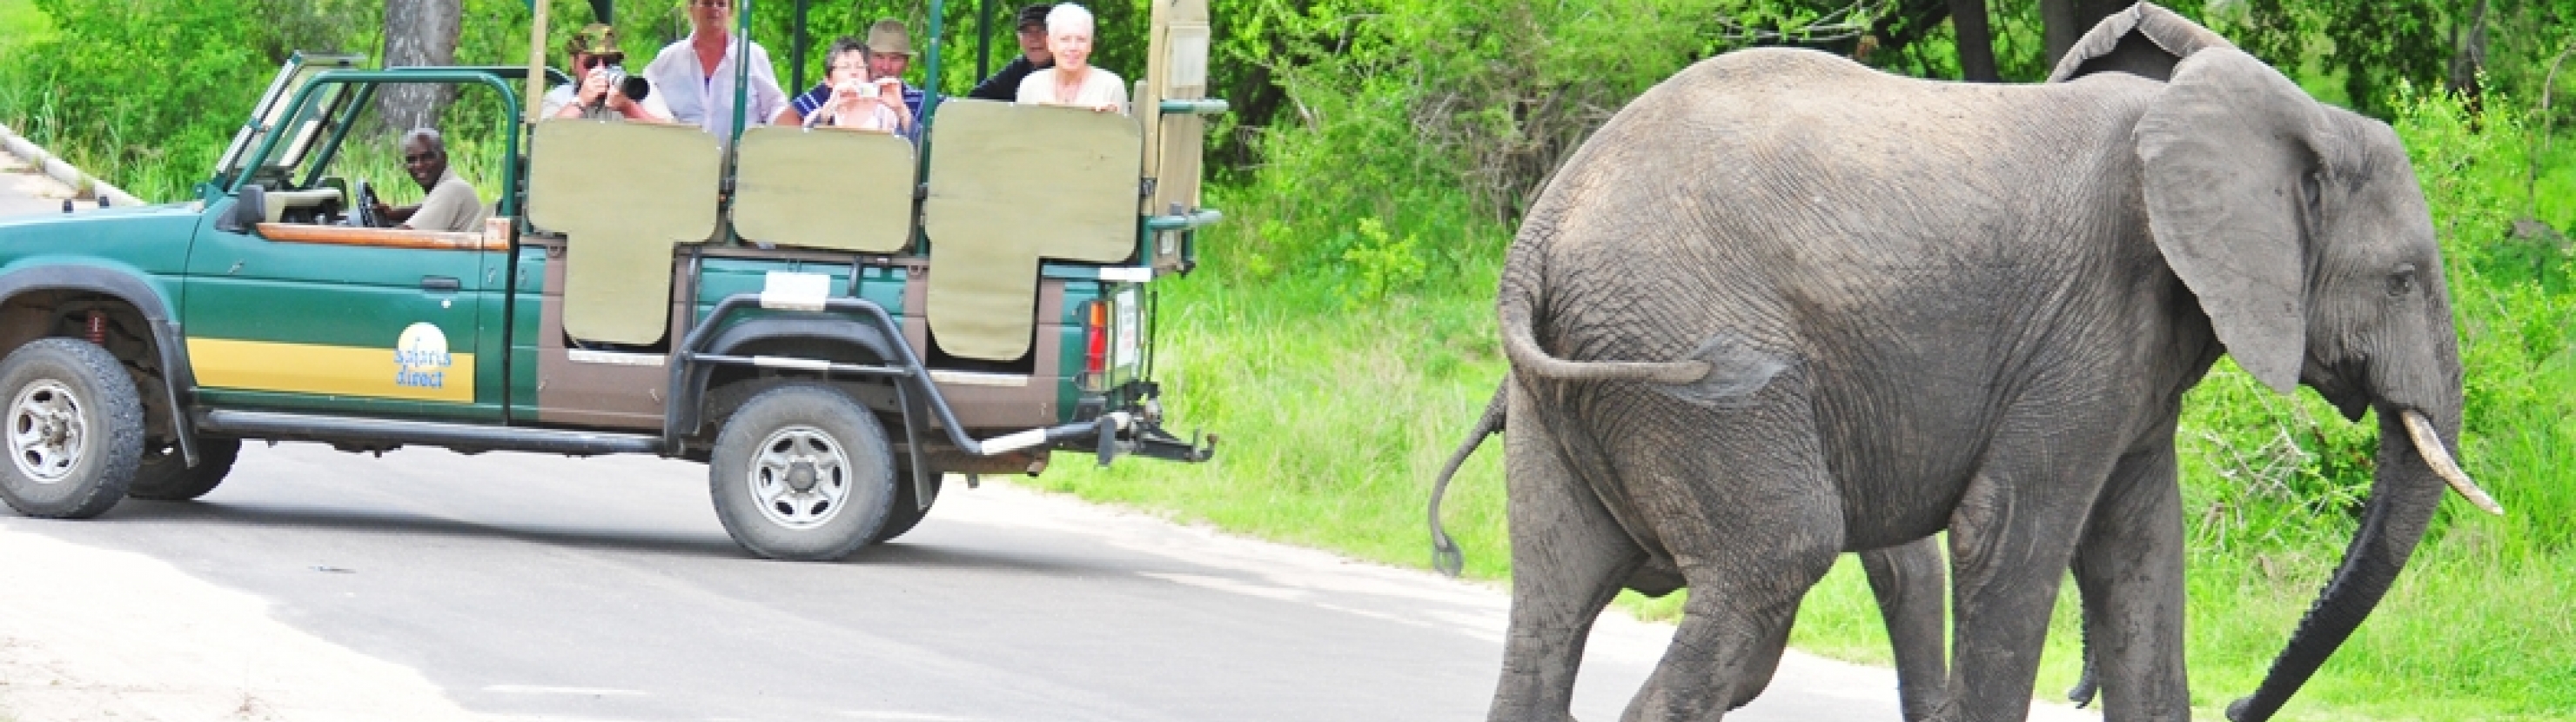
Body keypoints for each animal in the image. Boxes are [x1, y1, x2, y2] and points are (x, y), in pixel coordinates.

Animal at [1473, 5, 2493, 722]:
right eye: (2403, 279)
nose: (2243, 703)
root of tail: (1538, 236)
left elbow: (2138, 554)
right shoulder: (2086, 322)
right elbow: (2006, 534)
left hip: (1571, 380)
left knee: (1554, 602)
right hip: (1678, 358)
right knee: (1777, 559)